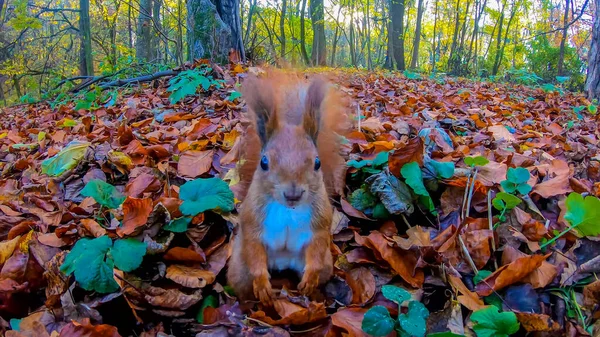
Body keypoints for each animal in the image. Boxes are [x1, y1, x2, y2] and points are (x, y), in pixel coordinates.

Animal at [226, 72, 346, 306]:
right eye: (264, 162)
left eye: (317, 163)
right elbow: (254, 248)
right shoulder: (251, 220)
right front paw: (262, 285)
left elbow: (318, 245)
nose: (293, 194)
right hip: (239, 269)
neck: (289, 210)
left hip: (326, 266)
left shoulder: (320, 221)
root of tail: (281, 264)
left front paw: (310, 279)